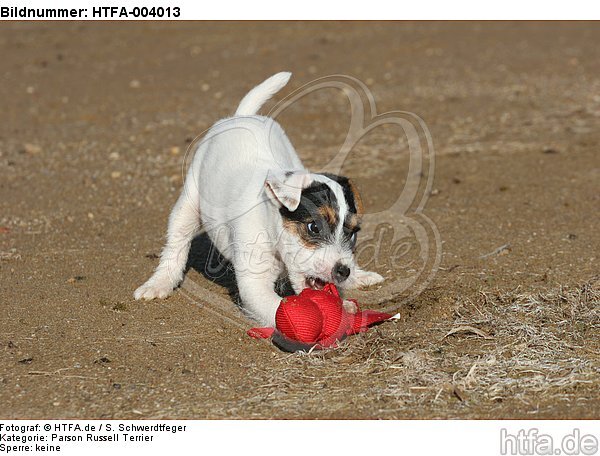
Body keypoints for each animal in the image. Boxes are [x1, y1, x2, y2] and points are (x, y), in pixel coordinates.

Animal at [135, 72, 384, 324]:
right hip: (188, 203)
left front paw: (345, 301)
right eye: (314, 227)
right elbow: (278, 310)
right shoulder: (254, 286)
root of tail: (241, 116)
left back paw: (360, 275)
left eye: (352, 233)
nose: (343, 271)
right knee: (177, 244)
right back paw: (159, 283)